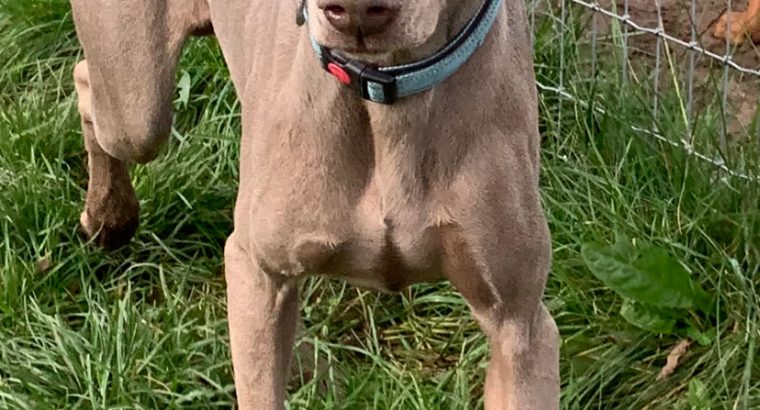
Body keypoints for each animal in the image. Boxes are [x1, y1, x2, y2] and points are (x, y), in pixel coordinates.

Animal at [70, 0, 560, 408]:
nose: (356, 10)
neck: (386, 91)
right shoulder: (255, 269)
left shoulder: (520, 327)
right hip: (136, 105)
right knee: (89, 83)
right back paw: (107, 216)